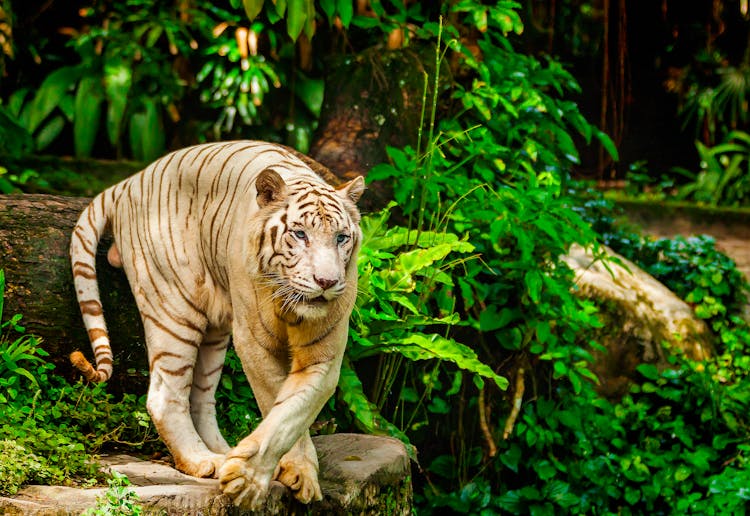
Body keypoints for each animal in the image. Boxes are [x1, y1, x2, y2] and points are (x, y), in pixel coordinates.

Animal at [69, 141, 366, 508]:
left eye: (341, 238)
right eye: (300, 234)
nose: (327, 282)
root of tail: (127, 183)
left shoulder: (323, 354)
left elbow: (294, 410)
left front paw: (293, 473)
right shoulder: (254, 341)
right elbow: (277, 404)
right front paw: (249, 480)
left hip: (214, 333)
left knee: (200, 398)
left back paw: (222, 453)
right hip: (175, 309)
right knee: (164, 396)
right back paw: (201, 461)